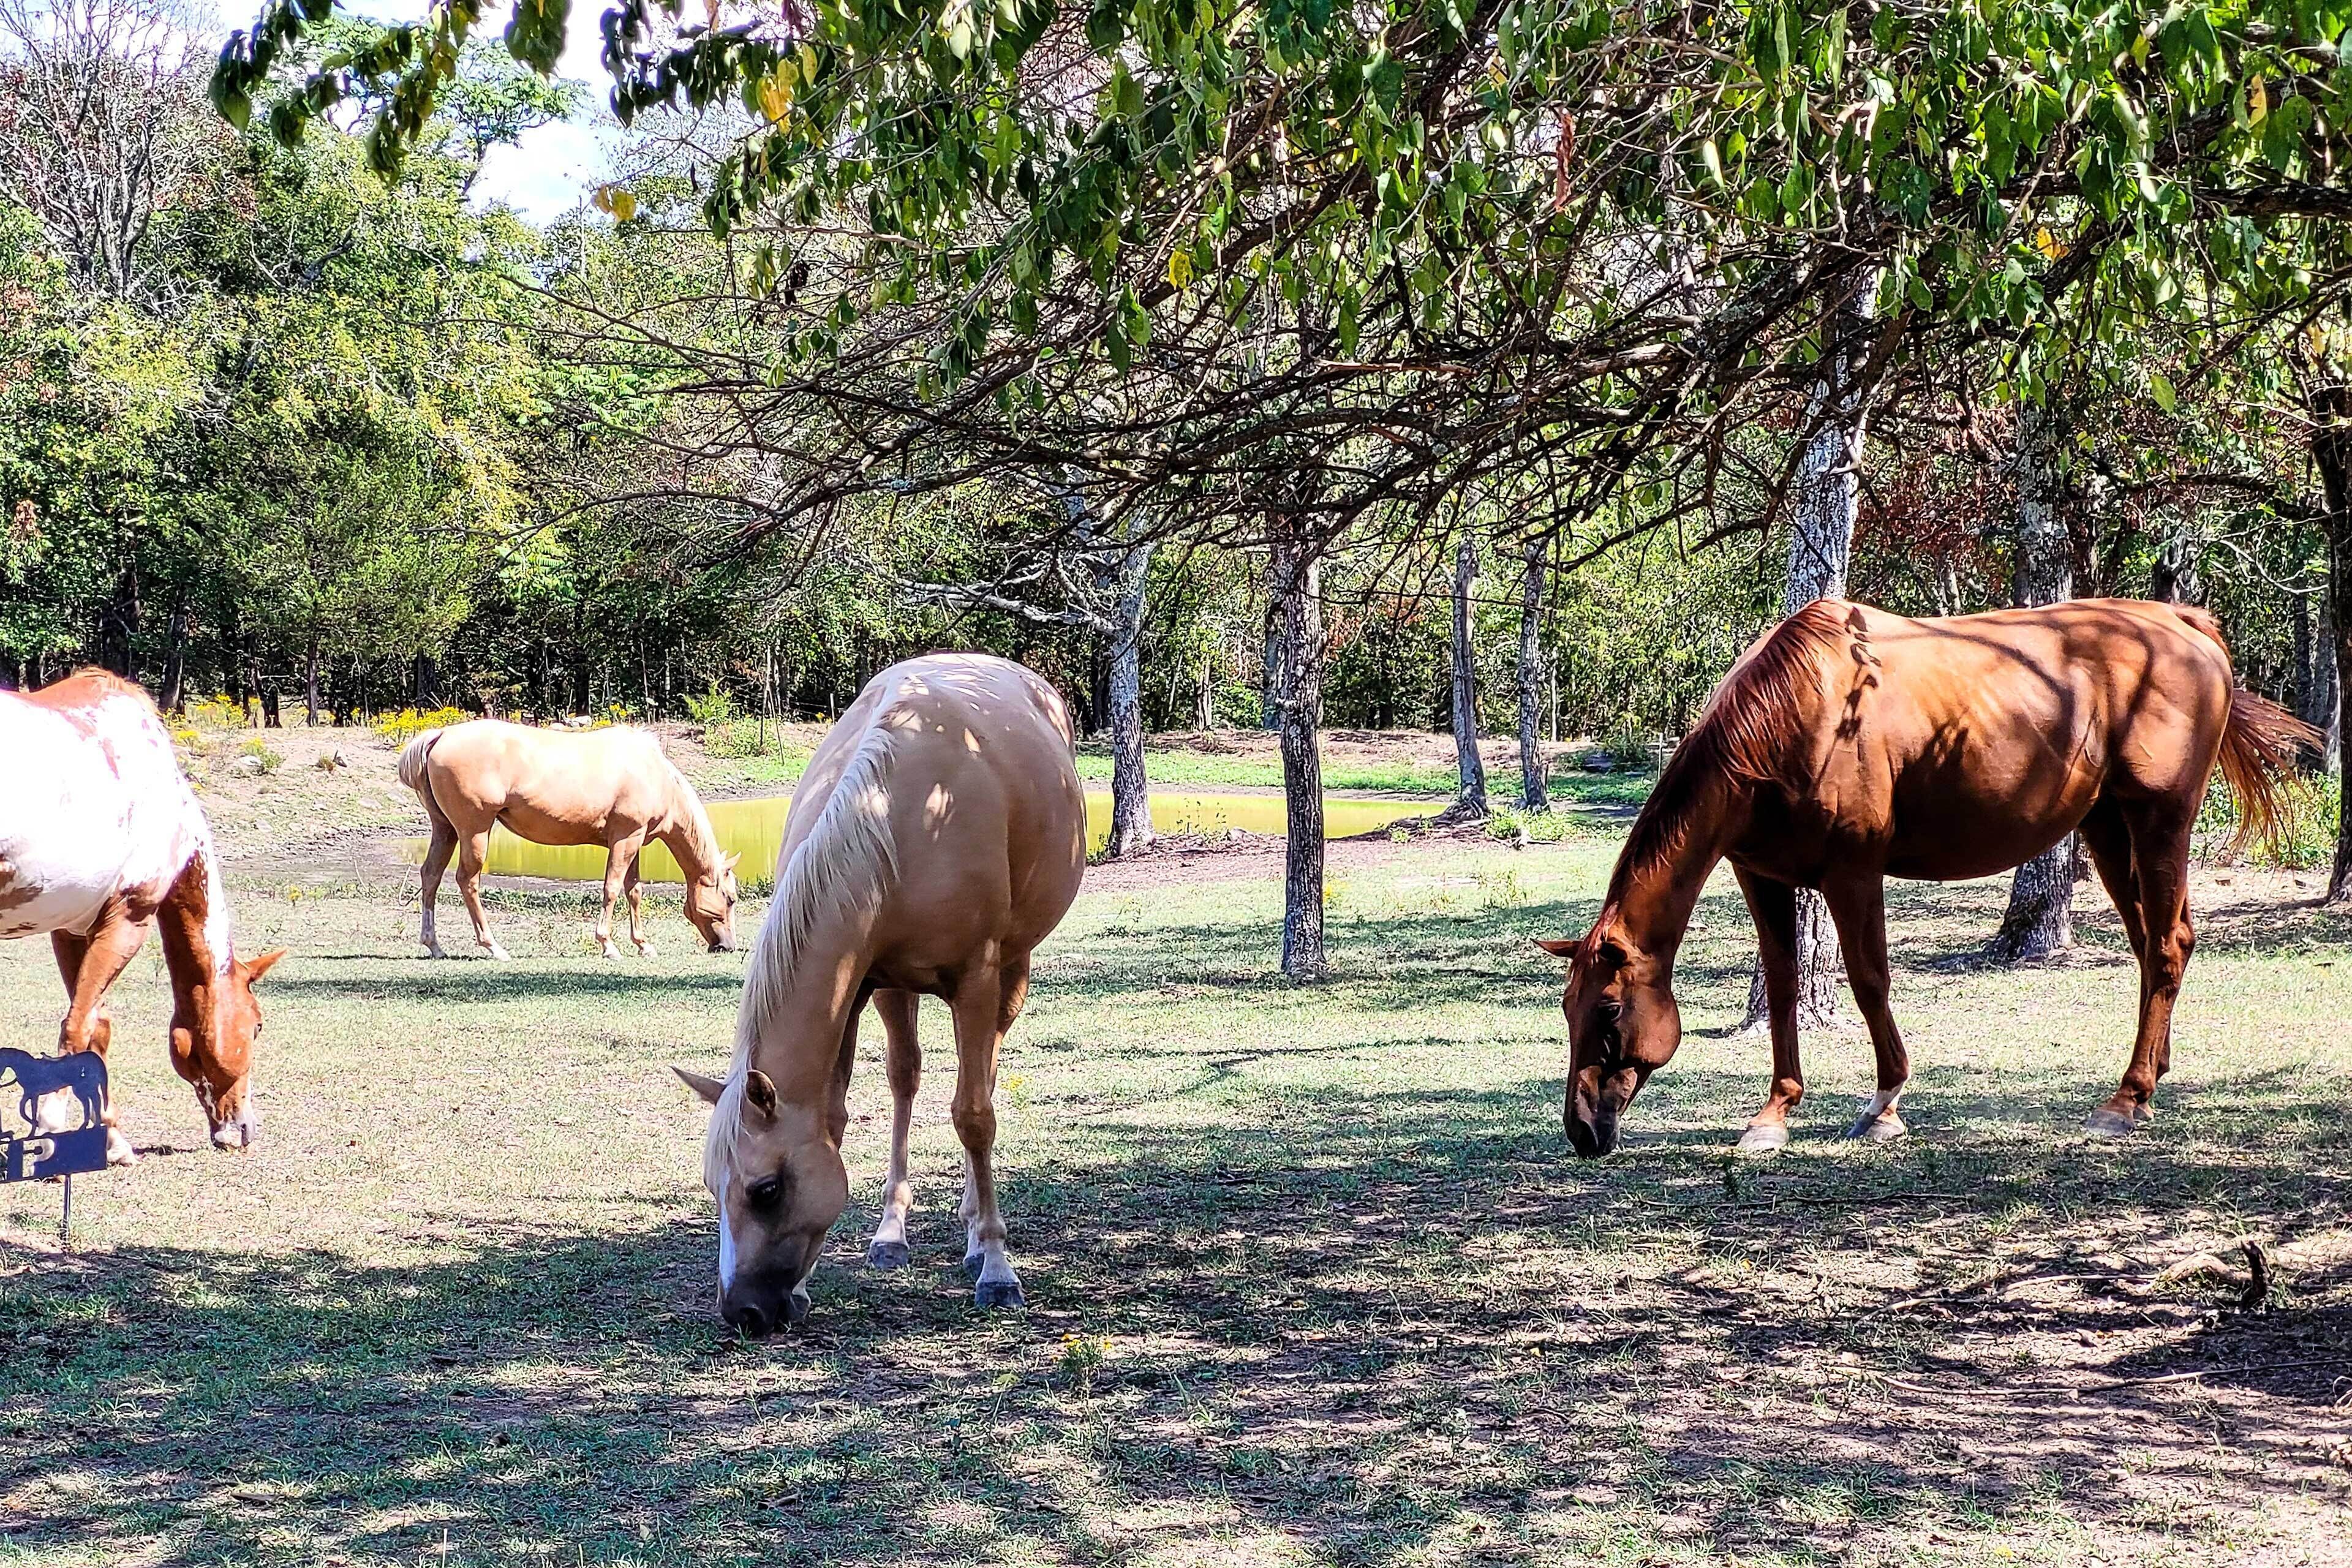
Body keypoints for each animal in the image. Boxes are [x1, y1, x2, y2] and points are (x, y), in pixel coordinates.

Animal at [0, 671, 287, 1161]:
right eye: (258, 1025)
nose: (243, 1130)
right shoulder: (127, 923)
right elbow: (78, 1028)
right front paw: (53, 1133)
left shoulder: (73, 930)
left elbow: (96, 1031)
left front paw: (113, 1141)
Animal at [398, 720, 741, 961]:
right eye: (730, 899)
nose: (728, 946)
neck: (654, 774)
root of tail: (440, 735)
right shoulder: (625, 839)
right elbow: (612, 889)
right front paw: (608, 945)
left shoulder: (634, 841)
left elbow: (634, 892)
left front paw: (643, 945)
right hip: (475, 832)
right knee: (467, 881)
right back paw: (493, 946)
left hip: (445, 829)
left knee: (431, 875)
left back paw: (434, 945)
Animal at [674, 652, 1087, 1333]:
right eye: (713, 1186)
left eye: (766, 1190)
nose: (744, 1313)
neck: (898, 812)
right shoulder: (869, 981)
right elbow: (844, 1112)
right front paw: (861, 1251)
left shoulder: (975, 976)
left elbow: (974, 1116)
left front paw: (997, 1266)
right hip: (902, 992)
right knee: (908, 1079)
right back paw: (898, 1232)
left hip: (1012, 969)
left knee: (985, 1075)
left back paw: (976, 1233)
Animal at [1539, 598, 2319, 1158]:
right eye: (1567, 1009)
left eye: (1609, 1010)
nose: (1582, 1132)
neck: (1795, 717)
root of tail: (2185, 625)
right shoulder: (1762, 875)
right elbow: (1786, 985)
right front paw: (1775, 1112)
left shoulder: (1854, 872)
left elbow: (1868, 980)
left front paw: (1885, 1104)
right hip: (2108, 829)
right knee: (2160, 941)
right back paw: (2154, 1075)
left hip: (2160, 821)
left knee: (2164, 944)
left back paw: (2126, 1099)